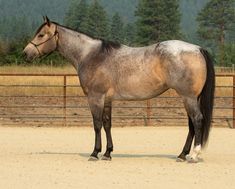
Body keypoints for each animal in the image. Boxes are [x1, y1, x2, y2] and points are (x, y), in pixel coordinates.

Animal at [23, 17, 215, 163]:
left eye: (41, 35)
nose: (25, 53)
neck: (90, 55)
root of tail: (197, 49)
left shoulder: (95, 98)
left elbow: (97, 124)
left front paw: (95, 153)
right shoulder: (107, 99)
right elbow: (107, 124)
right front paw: (108, 153)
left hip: (188, 97)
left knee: (197, 120)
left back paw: (193, 155)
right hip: (190, 98)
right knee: (191, 124)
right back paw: (182, 155)